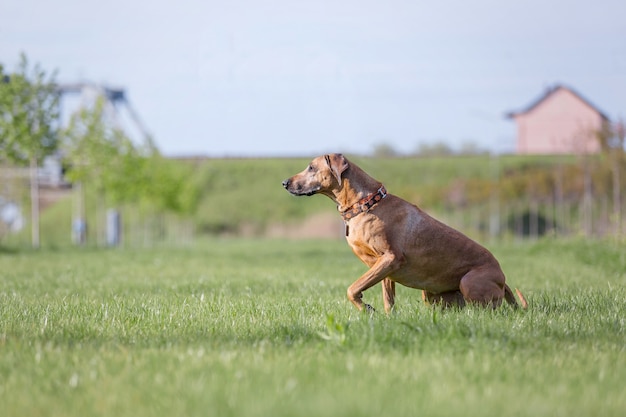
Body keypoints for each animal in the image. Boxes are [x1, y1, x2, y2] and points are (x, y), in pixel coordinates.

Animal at [280, 154, 524, 312]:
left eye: (311, 168)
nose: (284, 182)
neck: (366, 204)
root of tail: (502, 278)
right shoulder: (385, 269)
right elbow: (389, 301)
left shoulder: (390, 258)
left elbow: (352, 289)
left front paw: (366, 308)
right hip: (430, 293)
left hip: (469, 282)